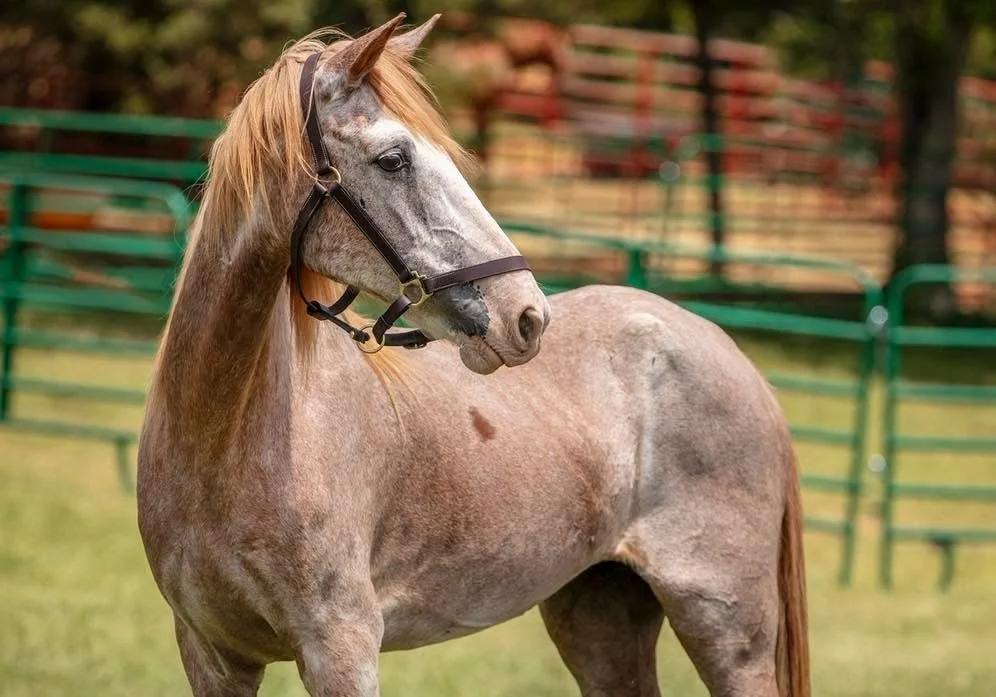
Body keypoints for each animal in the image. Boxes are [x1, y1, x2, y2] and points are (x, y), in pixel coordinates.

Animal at [137, 14, 810, 697]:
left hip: (728, 631)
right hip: (600, 617)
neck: (229, 440)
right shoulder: (212, 654)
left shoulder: (340, 650)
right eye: (393, 159)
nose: (527, 316)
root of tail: (729, 353)